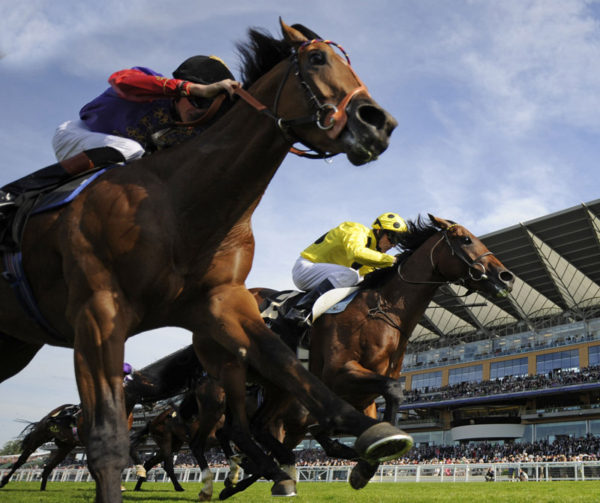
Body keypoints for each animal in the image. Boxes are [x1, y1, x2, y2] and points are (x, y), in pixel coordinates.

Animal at [0, 20, 404, 503]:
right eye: (318, 59)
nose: (380, 123)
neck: (181, 203)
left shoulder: (221, 303)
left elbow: (291, 370)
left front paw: (369, 435)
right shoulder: (97, 312)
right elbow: (107, 440)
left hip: (14, 343)